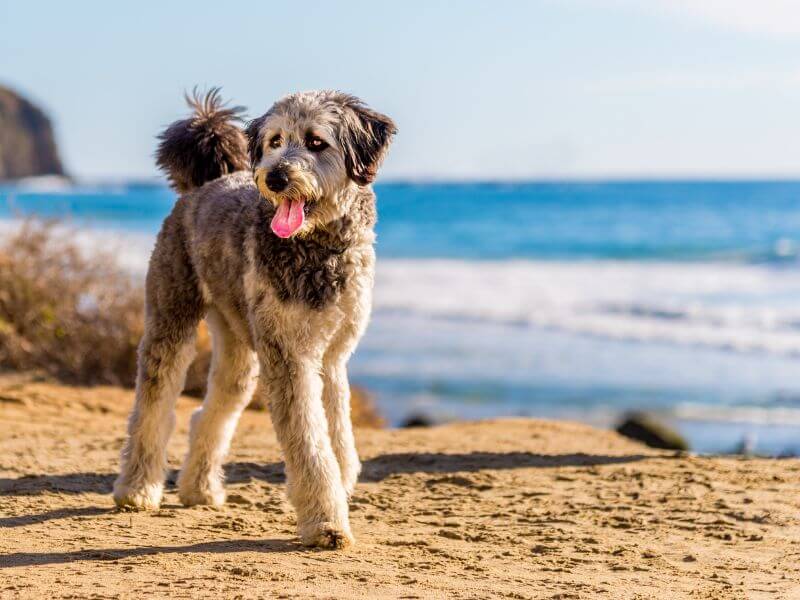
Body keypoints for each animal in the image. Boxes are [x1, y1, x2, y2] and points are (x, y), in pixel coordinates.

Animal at [113, 89, 396, 548]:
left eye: (316, 142)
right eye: (275, 140)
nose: (275, 178)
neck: (318, 248)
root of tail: (203, 185)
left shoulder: (332, 357)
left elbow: (338, 433)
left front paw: (342, 482)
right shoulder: (290, 357)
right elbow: (311, 444)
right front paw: (326, 521)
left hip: (238, 346)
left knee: (211, 411)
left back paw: (199, 488)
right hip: (171, 319)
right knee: (153, 407)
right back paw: (137, 488)